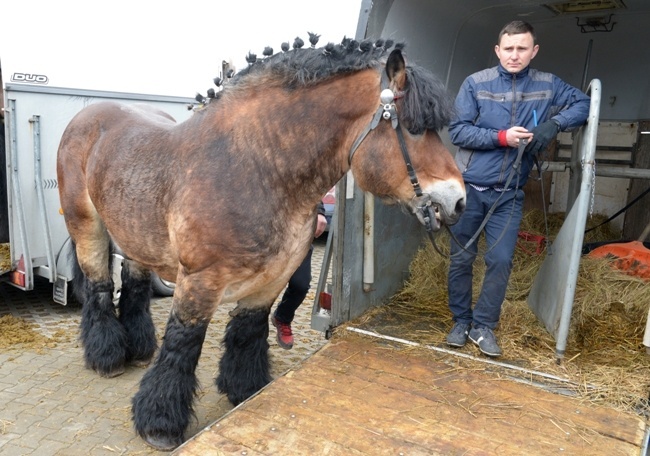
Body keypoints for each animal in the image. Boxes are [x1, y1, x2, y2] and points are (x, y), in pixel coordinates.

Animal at [54, 36, 460, 448]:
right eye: (413, 128)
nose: (457, 200)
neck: (254, 166)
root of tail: (85, 119)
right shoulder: (200, 281)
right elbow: (182, 345)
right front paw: (160, 424)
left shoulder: (270, 280)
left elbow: (248, 336)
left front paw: (245, 390)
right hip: (87, 227)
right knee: (100, 287)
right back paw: (106, 356)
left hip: (137, 233)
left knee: (133, 283)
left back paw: (137, 348)